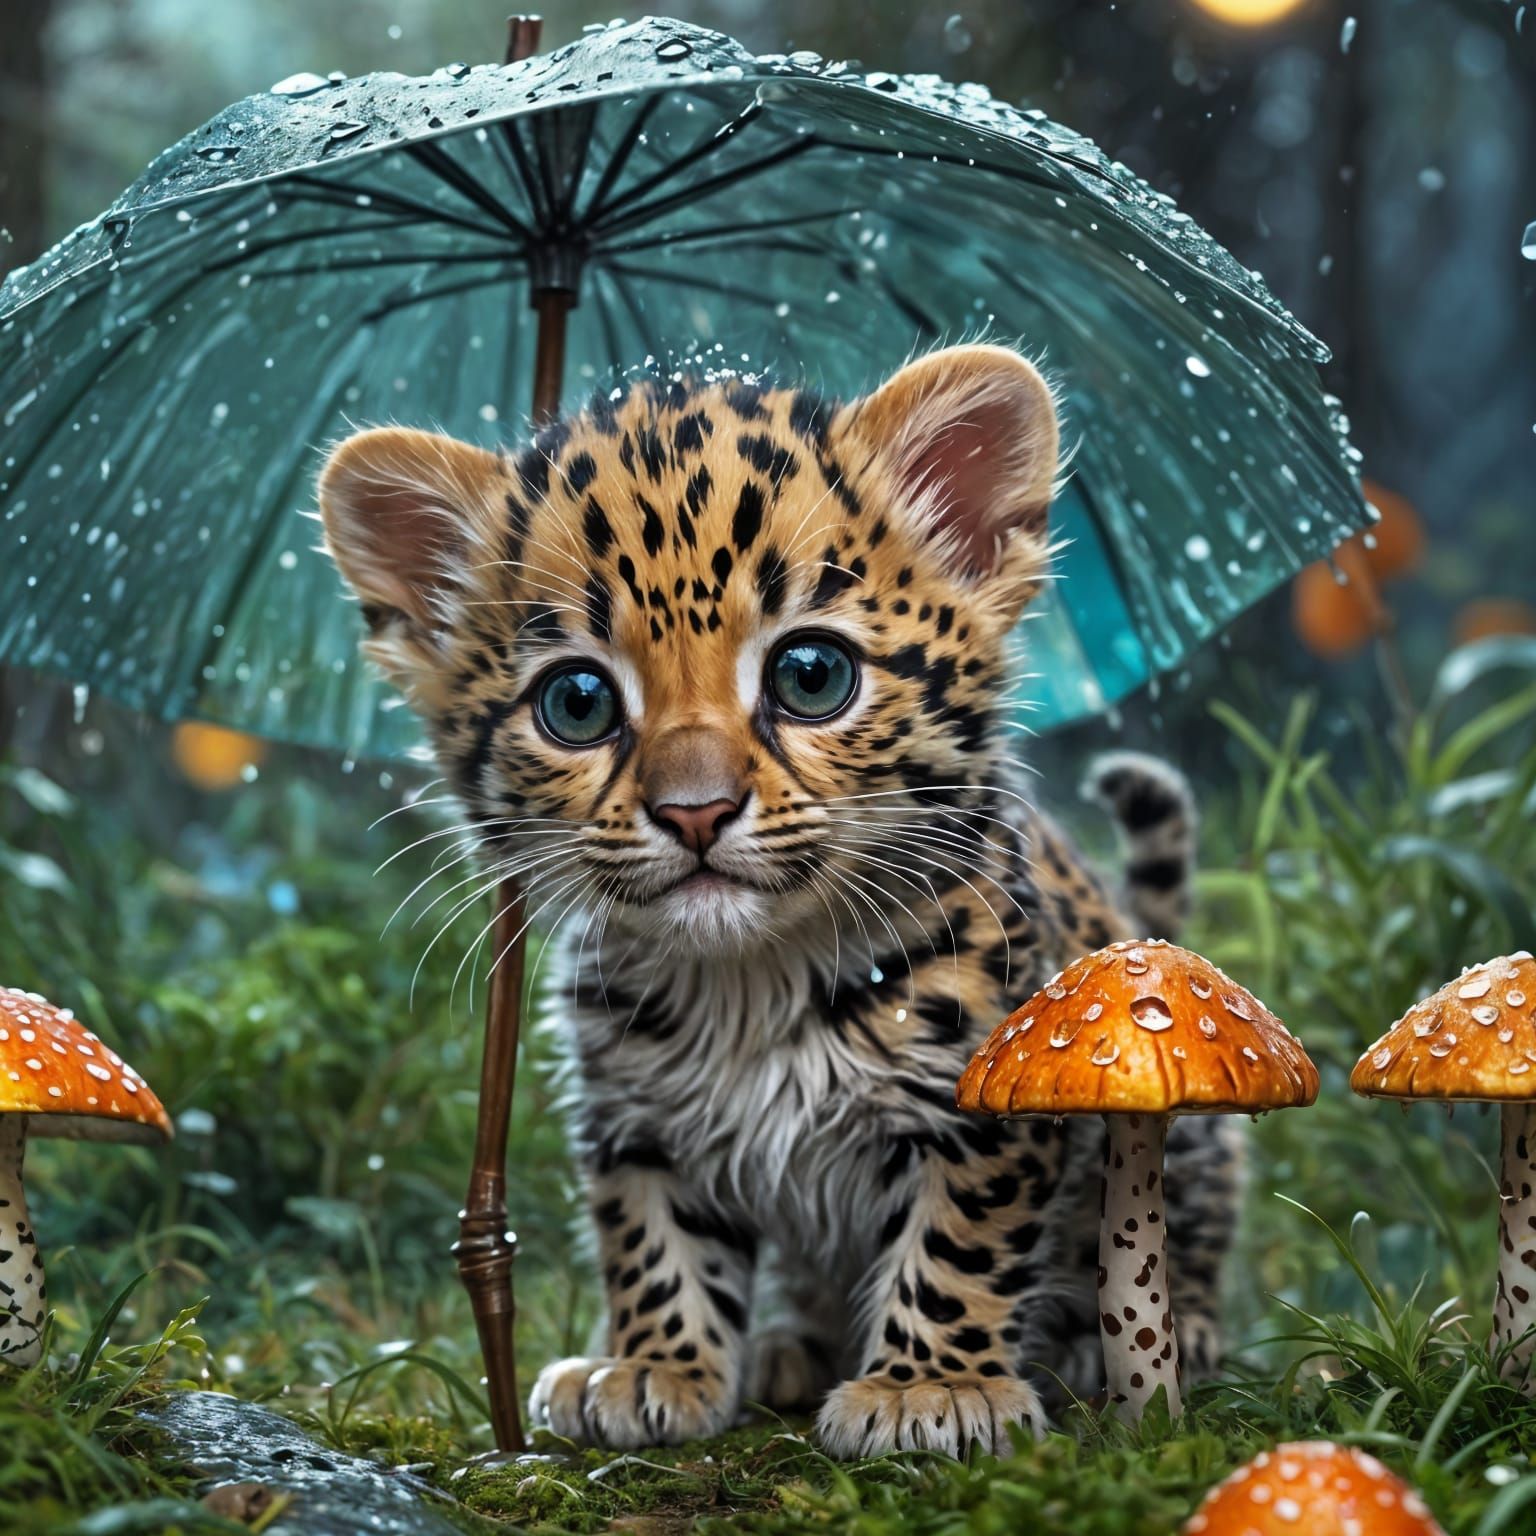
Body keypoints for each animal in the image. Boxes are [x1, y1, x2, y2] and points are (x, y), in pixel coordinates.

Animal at [317, 343, 1240, 1460]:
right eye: (577, 703)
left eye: (811, 676)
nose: (695, 811)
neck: (750, 983)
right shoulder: (633, 1114)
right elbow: (651, 1234)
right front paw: (654, 1365)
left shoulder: (981, 1105)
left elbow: (960, 1239)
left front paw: (932, 1388)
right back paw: (788, 1349)